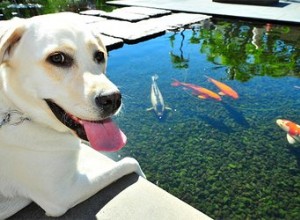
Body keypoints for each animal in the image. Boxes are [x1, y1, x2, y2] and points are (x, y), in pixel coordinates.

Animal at [0, 12, 145, 218]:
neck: (17, 112)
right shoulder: (63, 195)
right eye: (57, 58)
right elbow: (129, 162)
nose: (112, 99)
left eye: (100, 55)